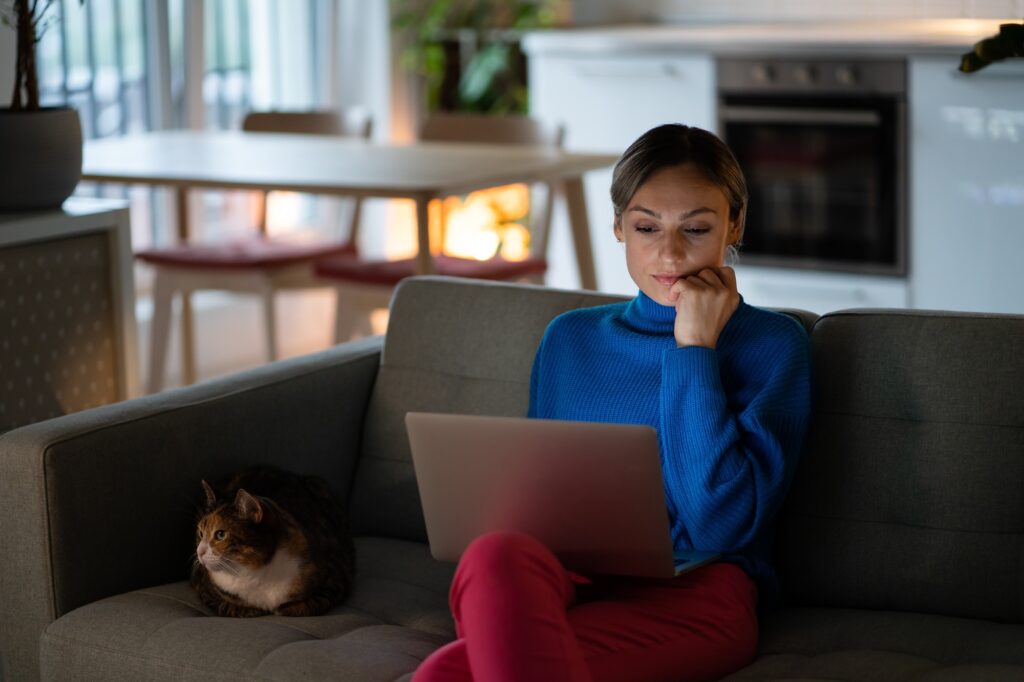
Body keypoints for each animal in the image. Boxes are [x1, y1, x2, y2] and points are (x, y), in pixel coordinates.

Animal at [190, 462, 354, 614]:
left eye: (220, 534)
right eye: (200, 533)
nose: (199, 552)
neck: (253, 572)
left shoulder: (336, 578)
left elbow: (307, 605)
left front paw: (283, 609)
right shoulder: (205, 588)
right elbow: (233, 607)